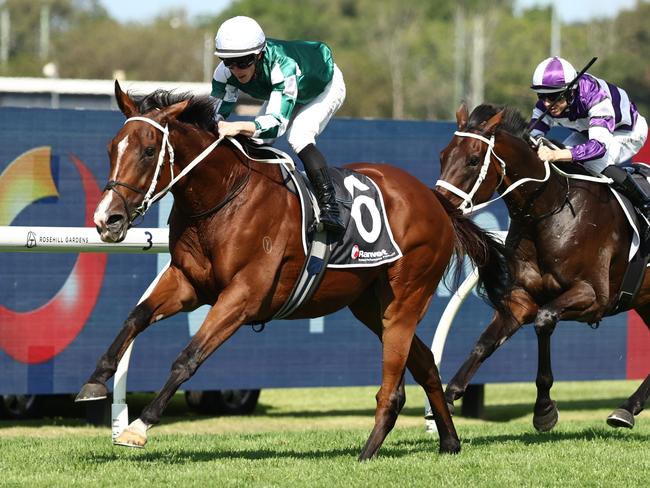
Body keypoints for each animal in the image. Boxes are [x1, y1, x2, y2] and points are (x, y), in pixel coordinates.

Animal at [74, 82, 512, 460]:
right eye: (112, 147)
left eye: (149, 151)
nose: (107, 219)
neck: (223, 197)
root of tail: (436, 202)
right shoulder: (188, 282)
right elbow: (136, 317)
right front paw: (94, 381)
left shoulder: (244, 296)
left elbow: (188, 356)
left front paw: (139, 426)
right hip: (371, 305)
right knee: (424, 362)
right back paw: (449, 441)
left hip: (406, 298)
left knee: (395, 386)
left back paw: (368, 451)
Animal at [432, 102, 648, 430]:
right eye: (443, 155)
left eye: (472, 160)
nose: (440, 204)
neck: (552, 210)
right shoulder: (521, 299)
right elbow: (483, 343)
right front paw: (445, 401)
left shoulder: (594, 296)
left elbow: (544, 320)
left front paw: (544, 409)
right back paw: (626, 409)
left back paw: (625, 409)